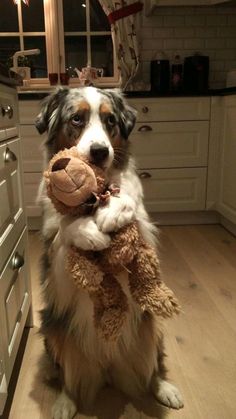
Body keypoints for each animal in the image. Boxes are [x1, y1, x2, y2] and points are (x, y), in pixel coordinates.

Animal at [35, 87, 184, 418]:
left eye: (110, 120)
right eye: (76, 118)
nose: (100, 152)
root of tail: (107, 367)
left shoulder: (145, 229)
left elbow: (128, 202)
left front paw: (113, 212)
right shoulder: (53, 260)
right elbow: (65, 229)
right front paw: (87, 232)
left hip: (151, 325)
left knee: (153, 368)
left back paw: (165, 389)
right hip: (55, 332)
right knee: (67, 376)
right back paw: (64, 402)